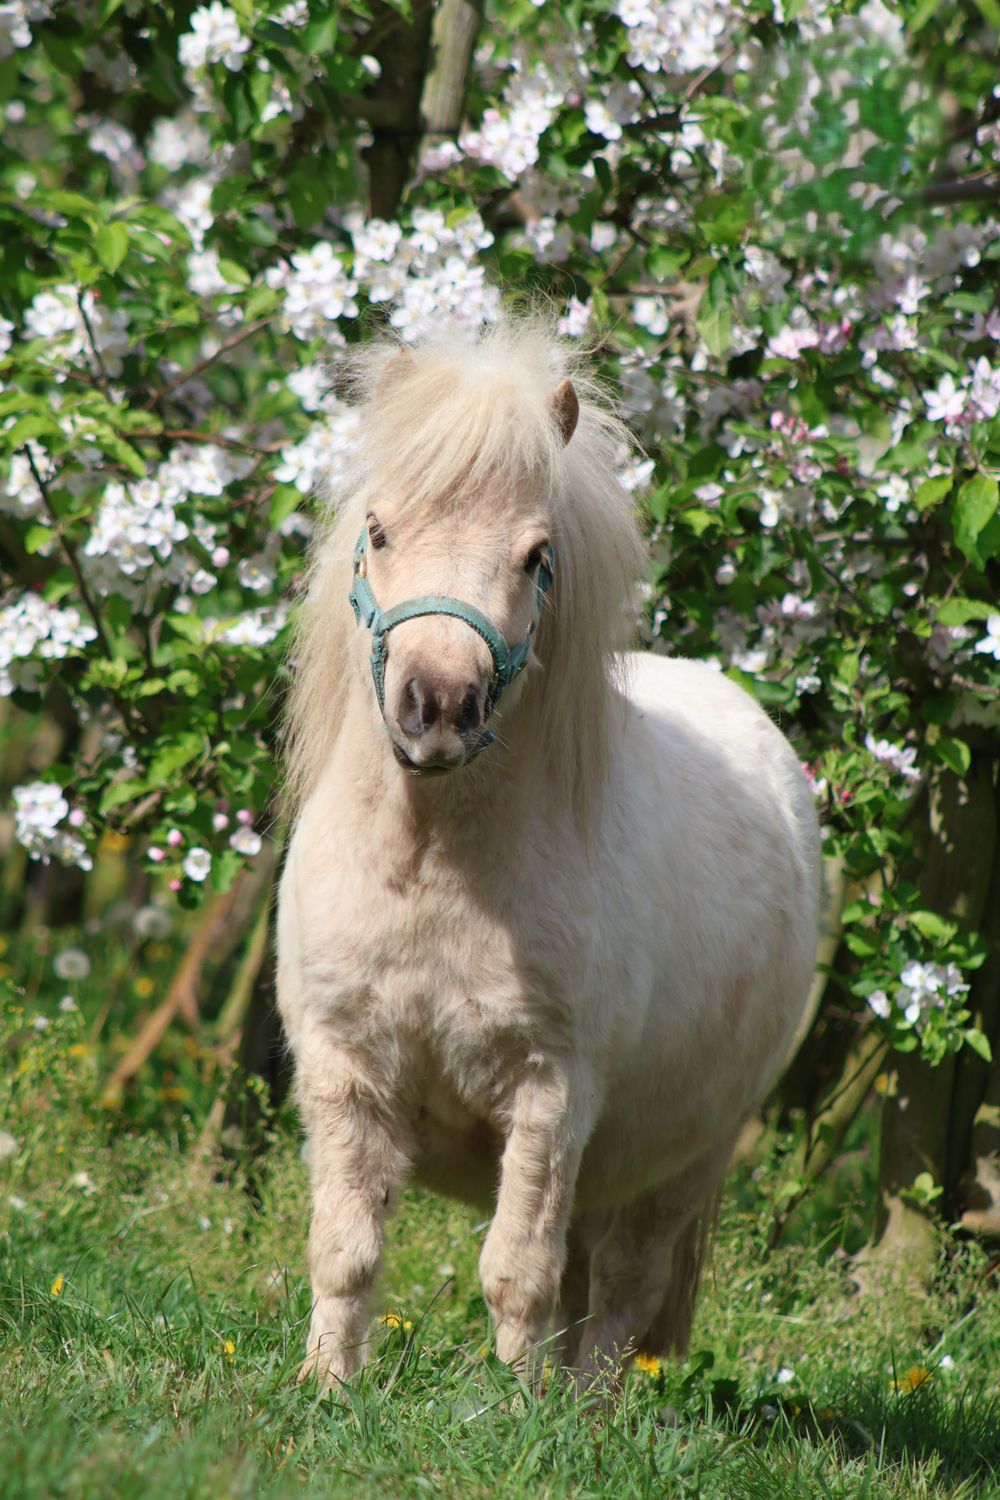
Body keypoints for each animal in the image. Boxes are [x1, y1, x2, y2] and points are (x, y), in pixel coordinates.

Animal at [277, 318, 821, 1389]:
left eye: (536, 556)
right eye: (379, 529)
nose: (438, 706)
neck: (434, 868)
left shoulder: (550, 1098)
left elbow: (514, 1272)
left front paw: (511, 1412)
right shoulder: (345, 1070)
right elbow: (346, 1250)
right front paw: (325, 1389)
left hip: (677, 1163)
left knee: (619, 1294)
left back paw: (584, 1409)